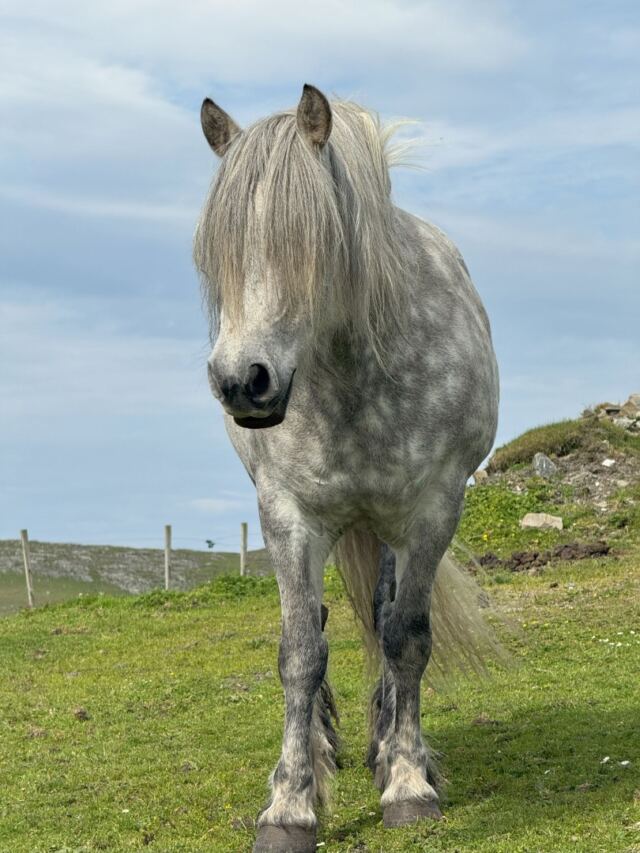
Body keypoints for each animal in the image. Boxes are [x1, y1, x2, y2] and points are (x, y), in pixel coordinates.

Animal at [194, 84, 499, 853]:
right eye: (222, 253)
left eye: (308, 244)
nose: (243, 381)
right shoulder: (288, 516)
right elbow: (301, 649)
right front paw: (290, 803)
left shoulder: (431, 512)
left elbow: (407, 638)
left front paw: (409, 783)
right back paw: (326, 749)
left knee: (387, 617)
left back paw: (388, 747)